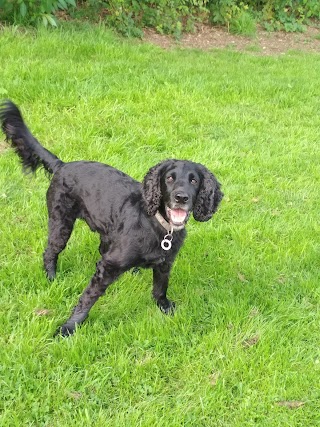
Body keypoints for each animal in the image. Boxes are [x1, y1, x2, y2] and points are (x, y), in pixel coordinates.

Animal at [0, 101, 224, 338]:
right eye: (170, 178)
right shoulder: (108, 266)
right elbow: (88, 298)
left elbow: (160, 288)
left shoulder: (165, 263)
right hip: (61, 223)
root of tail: (62, 165)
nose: (181, 197)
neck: (158, 226)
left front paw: (164, 306)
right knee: (50, 251)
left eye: (194, 180)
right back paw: (51, 277)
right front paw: (69, 327)